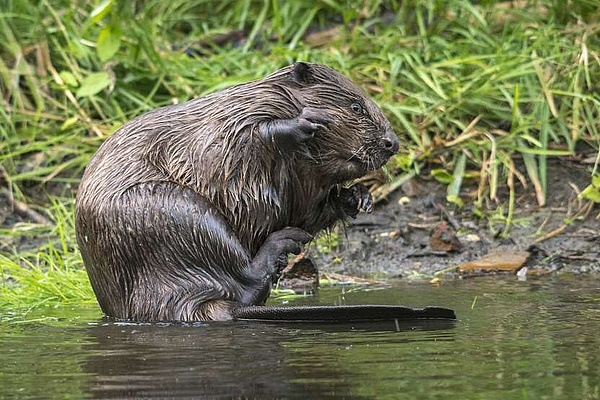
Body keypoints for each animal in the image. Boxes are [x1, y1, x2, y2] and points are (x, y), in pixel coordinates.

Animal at [77, 61, 400, 322]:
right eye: (356, 107)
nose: (392, 143)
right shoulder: (226, 122)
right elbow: (234, 140)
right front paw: (303, 122)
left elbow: (305, 212)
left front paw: (358, 197)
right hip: (174, 209)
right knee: (242, 279)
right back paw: (283, 244)